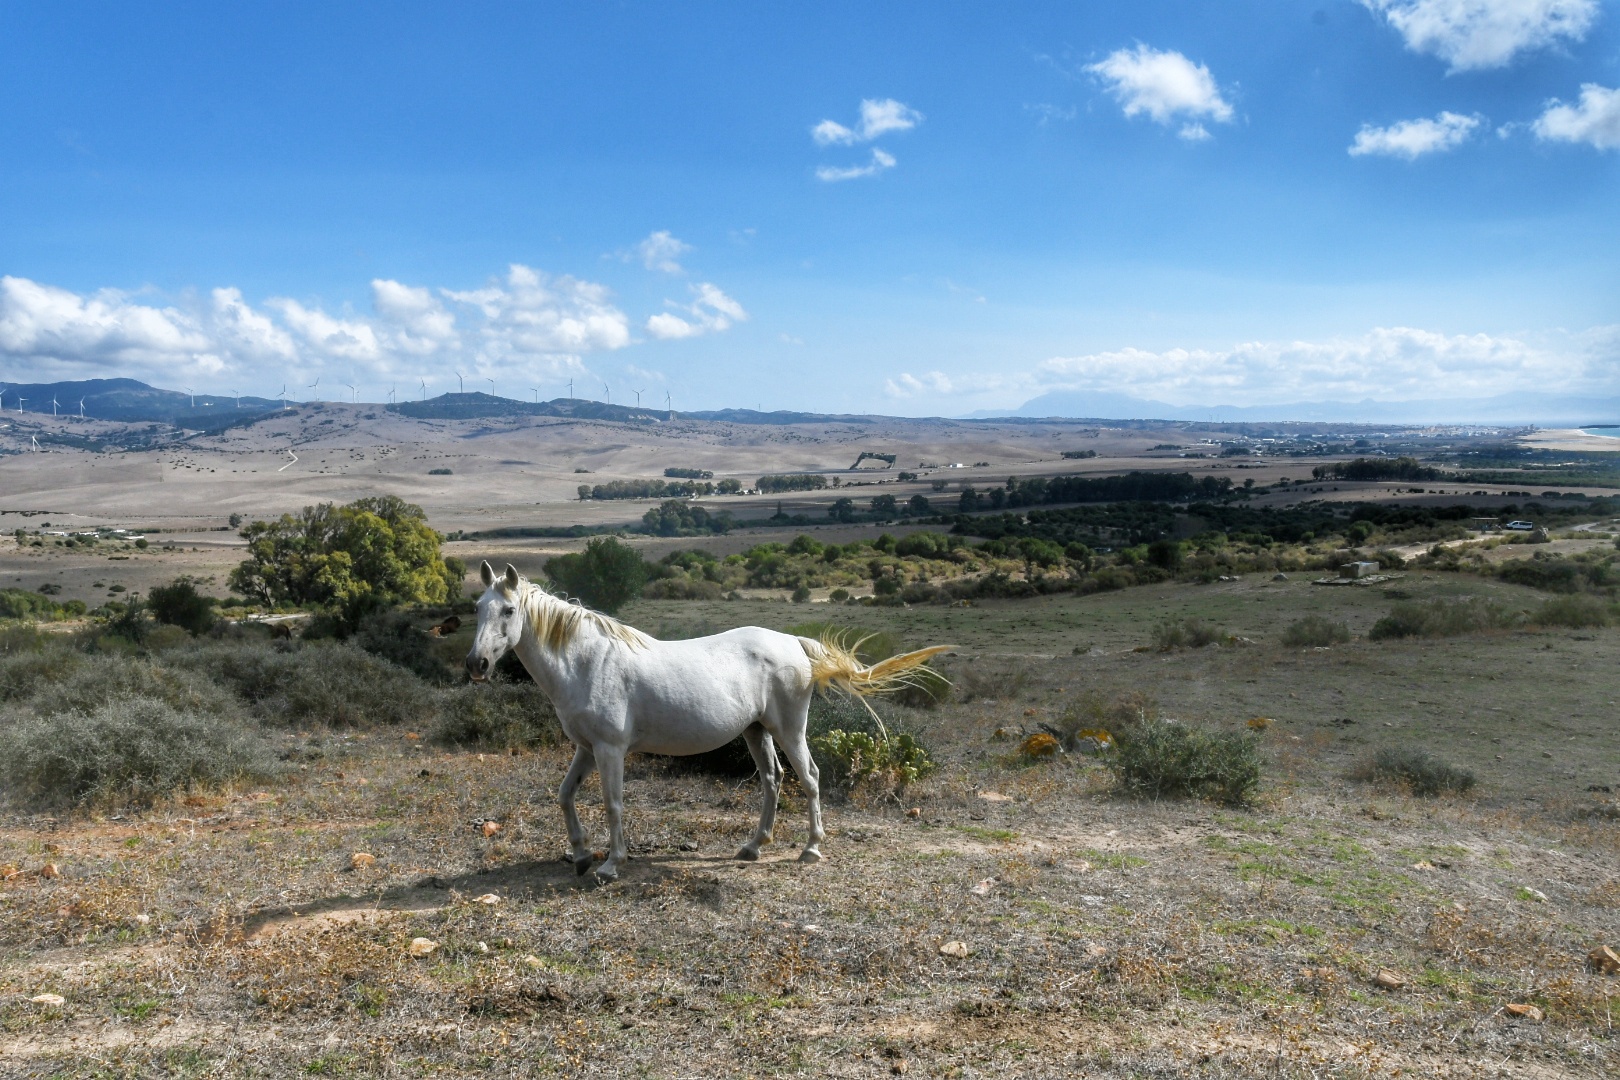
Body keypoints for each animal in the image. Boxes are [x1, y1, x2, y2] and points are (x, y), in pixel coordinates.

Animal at [466, 563, 946, 880]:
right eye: (477, 608)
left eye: (508, 612)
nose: (476, 664)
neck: (586, 661)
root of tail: (793, 642)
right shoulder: (586, 748)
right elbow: (565, 796)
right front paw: (582, 856)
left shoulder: (609, 750)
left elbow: (612, 803)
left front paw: (611, 864)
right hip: (756, 731)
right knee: (772, 780)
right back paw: (754, 847)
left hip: (789, 729)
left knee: (808, 777)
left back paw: (811, 849)